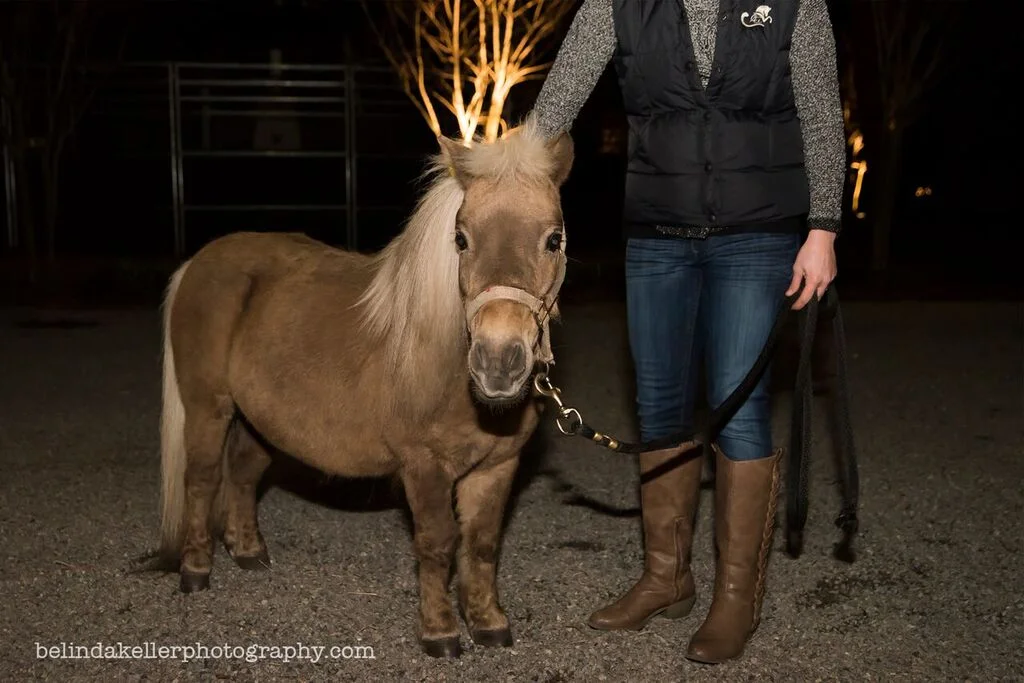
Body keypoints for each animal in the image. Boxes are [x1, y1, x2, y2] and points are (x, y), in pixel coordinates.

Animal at [140, 121, 574, 659]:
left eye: (554, 239)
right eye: (461, 238)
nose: (498, 361)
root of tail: (198, 262)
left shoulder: (498, 466)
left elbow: (482, 543)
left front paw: (488, 623)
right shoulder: (423, 467)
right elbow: (438, 544)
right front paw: (440, 632)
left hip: (262, 421)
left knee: (241, 473)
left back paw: (247, 550)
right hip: (208, 409)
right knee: (202, 479)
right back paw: (196, 569)